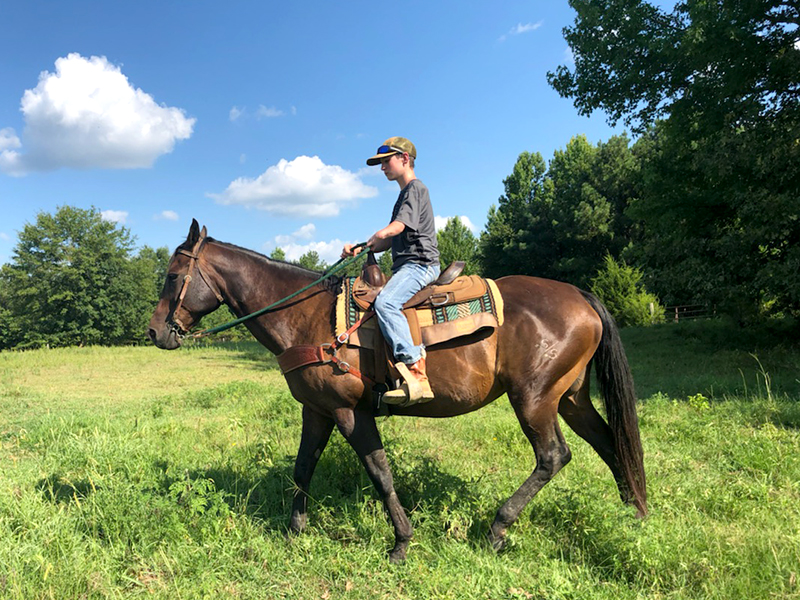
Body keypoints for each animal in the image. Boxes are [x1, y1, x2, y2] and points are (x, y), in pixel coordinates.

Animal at [148, 220, 644, 564]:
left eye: (173, 276)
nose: (154, 332)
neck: (308, 317)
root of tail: (581, 296)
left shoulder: (350, 412)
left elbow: (380, 474)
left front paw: (401, 543)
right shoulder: (317, 410)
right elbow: (303, 467)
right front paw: (293, 531)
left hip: (535, 399)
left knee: (553, 456)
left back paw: (497, 529)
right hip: (570, 398)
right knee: (609, 442)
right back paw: (632, 517)